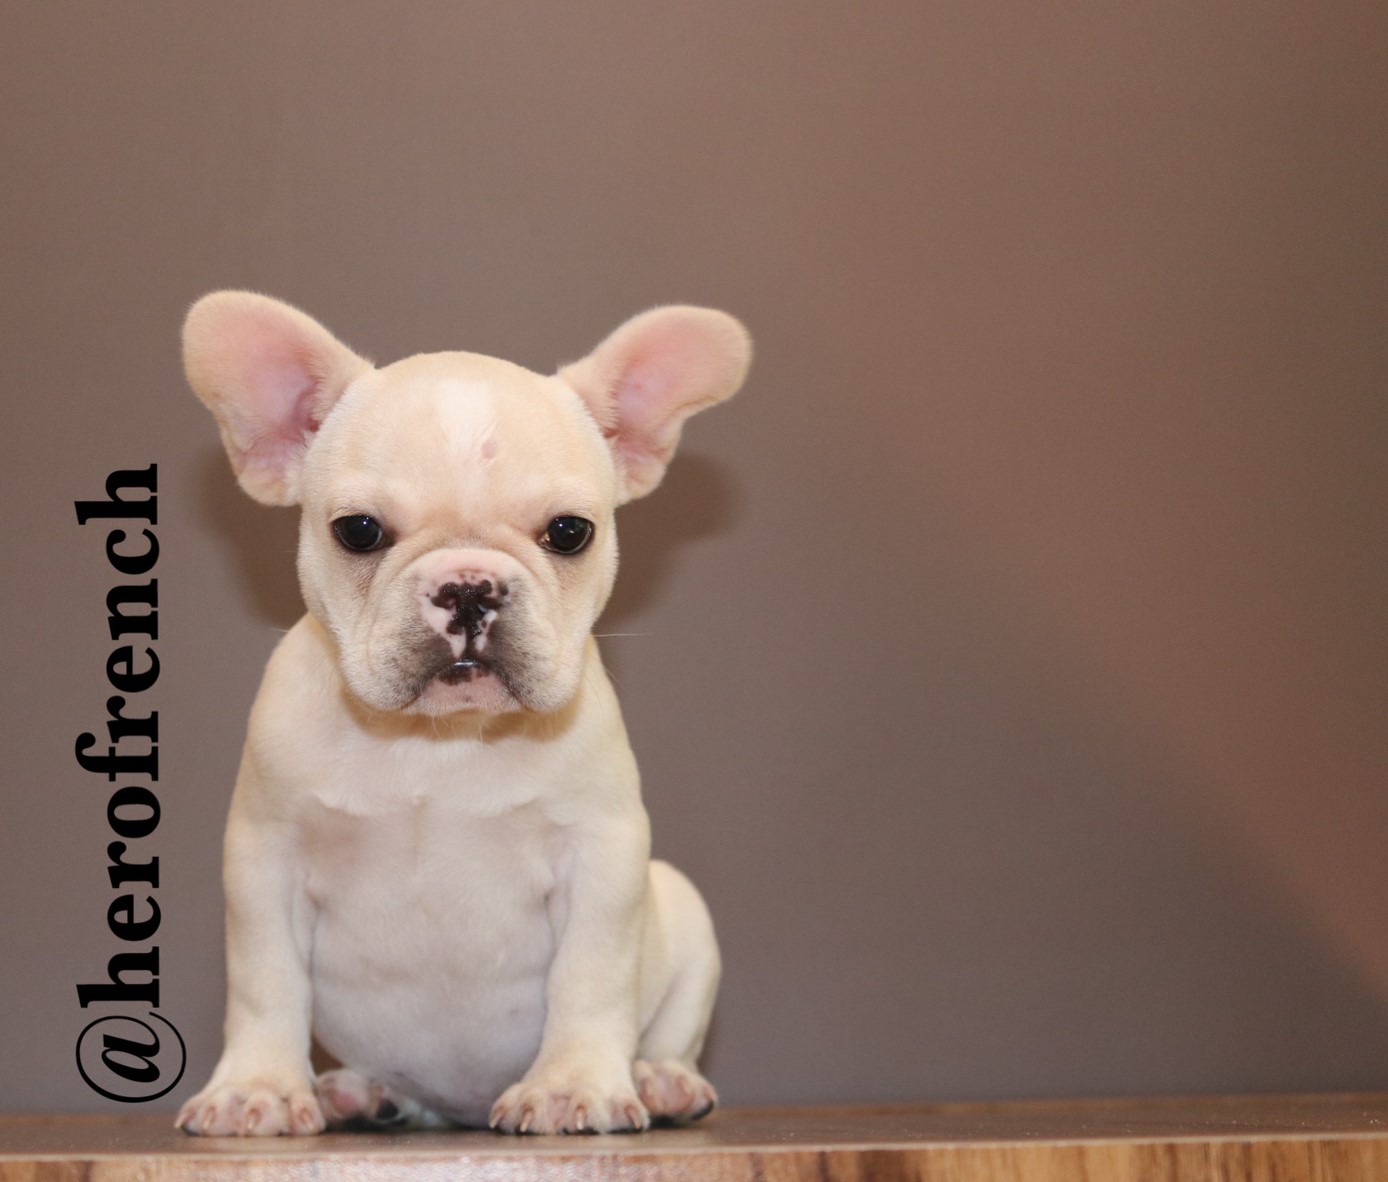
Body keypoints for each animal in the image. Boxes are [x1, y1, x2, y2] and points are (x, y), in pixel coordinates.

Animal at [174, 292, 750, 1136]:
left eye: (570, 531)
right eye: (359, 530)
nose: (470, 587)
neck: (437, 740)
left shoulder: (602, 854)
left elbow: (590, 977)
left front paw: (571, 1083)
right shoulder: (264, 857)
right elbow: (264, 982)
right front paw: (259, 1087)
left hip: (683, 910)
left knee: (671, 1032)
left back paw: (658, 1080)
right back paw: (359, 1090)